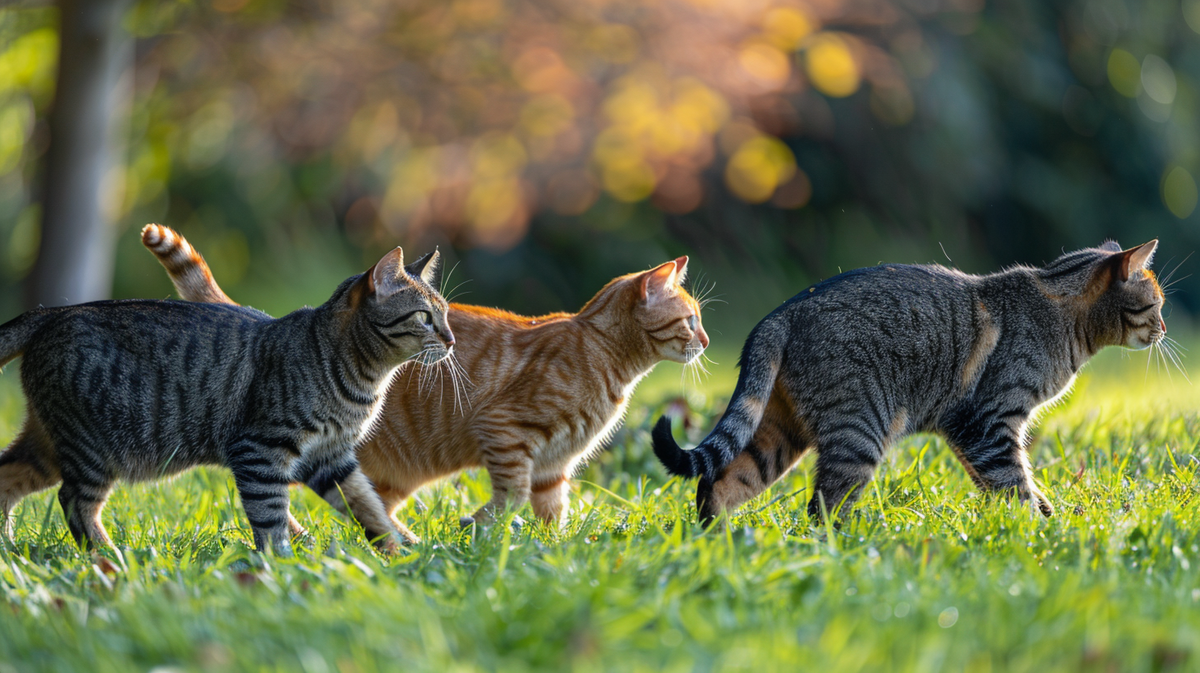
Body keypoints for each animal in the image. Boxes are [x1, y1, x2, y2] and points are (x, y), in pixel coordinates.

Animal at [0, 243, 451, 554]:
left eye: (445, 313)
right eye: (424, 317)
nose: (450, 339)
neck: (363, 379)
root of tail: (53, 313)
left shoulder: (331, 458)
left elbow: (369, 506)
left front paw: (401, 550)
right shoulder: (260, 450)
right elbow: (270, 516)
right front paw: (283, 563)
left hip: (48, 447)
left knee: (7, 476)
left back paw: (10, 551)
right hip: (95, 449)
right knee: (75, 502)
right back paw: (109, 556)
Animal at [141, 225, 705, 539]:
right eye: (691, 320)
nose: (704, 340)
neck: (605, 355)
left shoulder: (554, 468)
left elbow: (550, 514)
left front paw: (553, 553)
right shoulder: (505, 432)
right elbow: (512, 495)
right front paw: (479, 527)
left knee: (358, 507)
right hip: (298, 446)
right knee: (262, 489)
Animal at [652, 239, 1166, 520]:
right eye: (1156, 303)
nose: (1163, 328)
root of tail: (779, 316)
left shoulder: (966, 431)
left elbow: (1005, 484)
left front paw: (1038, 518)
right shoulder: (988, 422)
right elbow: (1013, 482)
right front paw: (1040, 533)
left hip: (780, 432)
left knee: (719, 482)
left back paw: (722, 544)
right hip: (860, 432)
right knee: (823, 509)